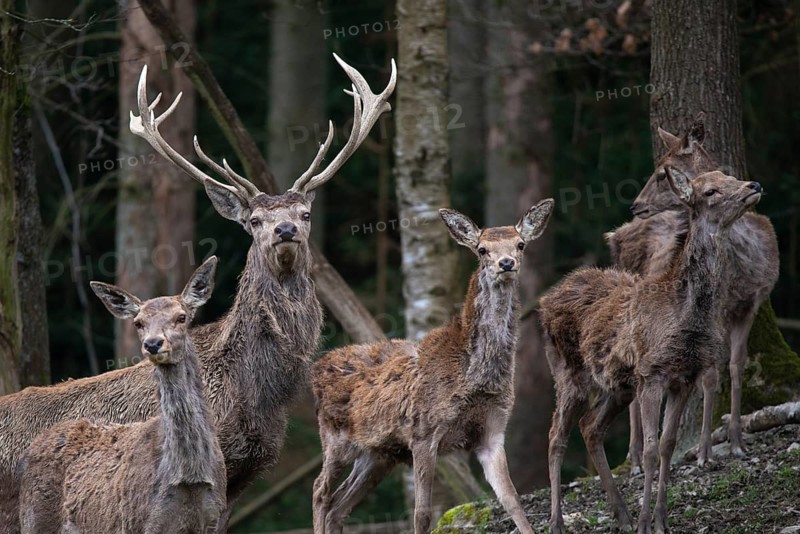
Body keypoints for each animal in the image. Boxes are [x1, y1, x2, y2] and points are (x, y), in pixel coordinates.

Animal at [17, 257, 225, 534]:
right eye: (138, 323)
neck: (189, 477)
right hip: (34, 518)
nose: (153, 343)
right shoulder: (141, 521)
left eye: (181, 317)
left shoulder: (217, 516)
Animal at [312, 199, 554, 534]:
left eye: (520, 244)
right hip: (335, 438)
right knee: (320, 491)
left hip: (379, 454)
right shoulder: (423, 432)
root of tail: (316, 368)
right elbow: (423, 513)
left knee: (339, 505)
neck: (475, 378)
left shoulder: (492, 433)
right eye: (482, 249)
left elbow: (512, 500)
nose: (506, 263)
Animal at [540, 169, 763, 534]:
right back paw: (557, 521)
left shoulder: (685, 377)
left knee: (590, 427)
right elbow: (648, 450)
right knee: (556, 435)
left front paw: (660, 519)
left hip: (619, 386)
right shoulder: (652, 373)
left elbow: (668, 445)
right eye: (710, 190)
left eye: (729, 175)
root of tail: (546, 300)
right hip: (568, 372)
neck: (685, 316)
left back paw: (621, 513)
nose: (753, 185)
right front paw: (647, 521)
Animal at [606, 118, 779, 470]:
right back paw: (635, 456)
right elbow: (710, 376)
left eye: (662, 173)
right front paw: (703, 452)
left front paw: (737, 442)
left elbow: (737, 365)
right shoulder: (714, 313)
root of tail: (616, 233)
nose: (635, 204)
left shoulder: (750, 304)